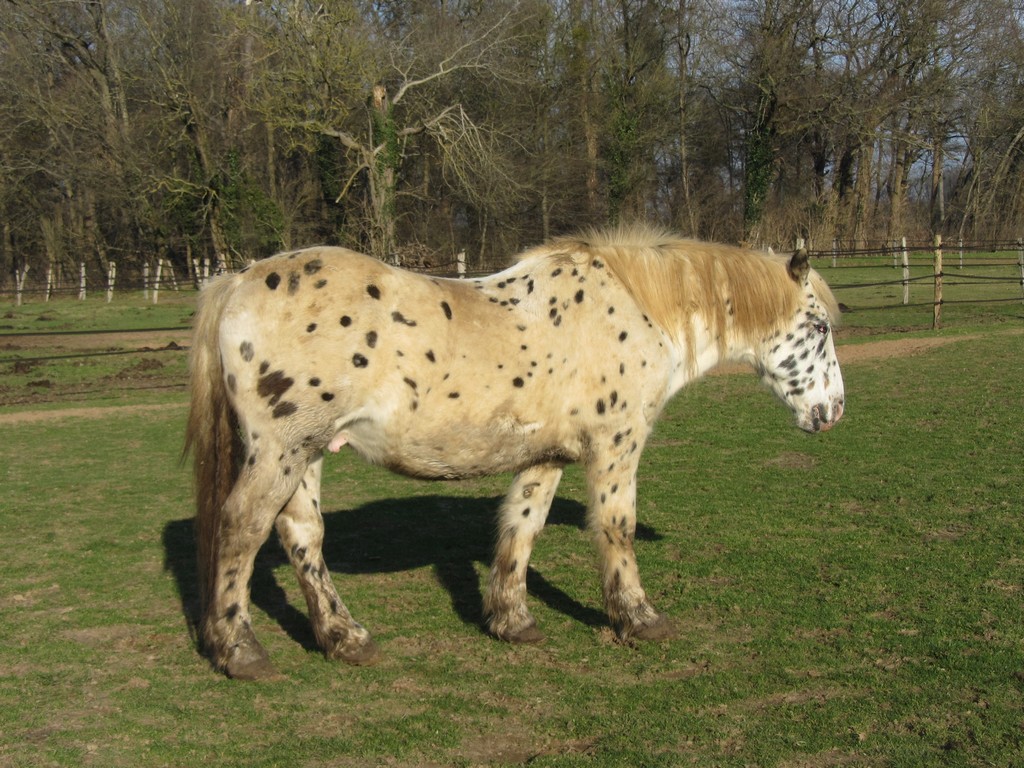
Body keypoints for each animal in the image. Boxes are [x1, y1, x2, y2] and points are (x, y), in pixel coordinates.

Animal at [185, 226, 844, 679]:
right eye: (818, 327)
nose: (834, 411)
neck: (636, 309)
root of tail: (236, 281)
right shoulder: (616, 445)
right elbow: (617, 527)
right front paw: (639, 619)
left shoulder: (546, 456)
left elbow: (522, 526)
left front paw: (511, 621)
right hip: (283, 450)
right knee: (243, 529)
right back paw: (242, 652)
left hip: (309, 452)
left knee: (303, 536)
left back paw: (345, 639)